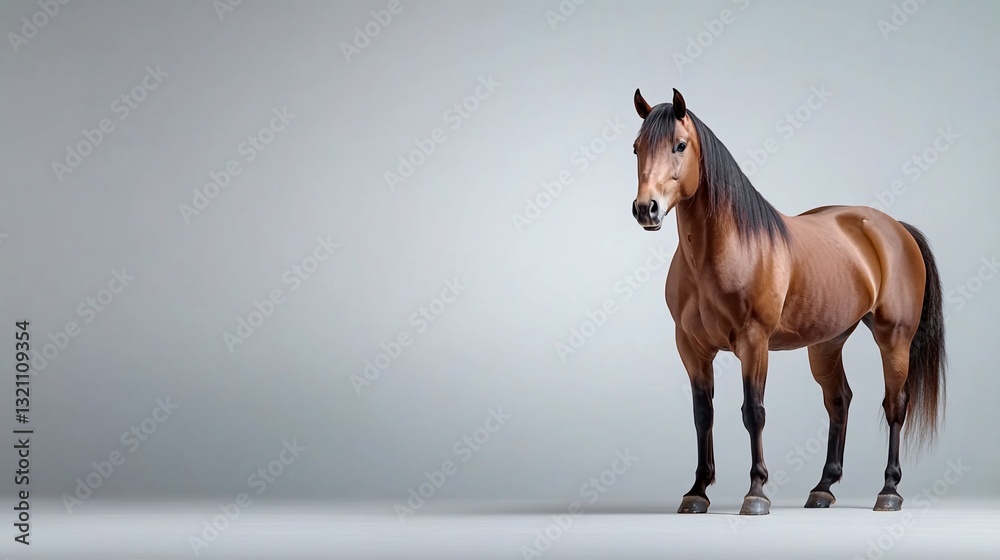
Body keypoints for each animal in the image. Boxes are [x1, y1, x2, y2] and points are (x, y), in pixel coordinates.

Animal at [629, 88, 946, 515]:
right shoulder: (691, 347)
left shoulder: (754, 342)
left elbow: (754, 412)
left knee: (895, 404)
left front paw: (756, 492)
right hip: (827, 343)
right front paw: (697, 491)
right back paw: (823, 488)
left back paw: (889, 491)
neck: (723, 250)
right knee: (839, 401)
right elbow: (702, 414)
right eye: (636, 148)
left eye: (679, 145)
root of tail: (896, 228)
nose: (646, 209)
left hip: (894, 339)